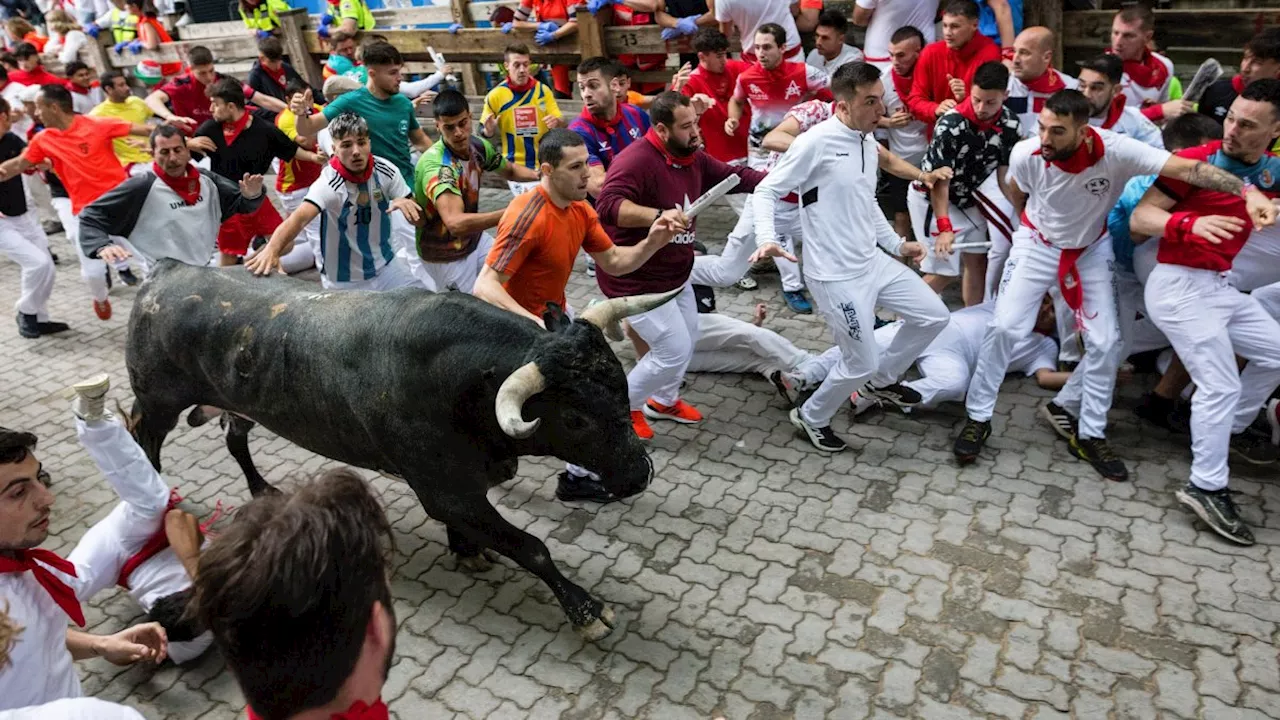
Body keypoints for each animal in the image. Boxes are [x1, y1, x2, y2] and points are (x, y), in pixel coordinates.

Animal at [124, 258, 675, 638]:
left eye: (620, 384)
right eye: (576, 418)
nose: (638, 473)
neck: (460, 383)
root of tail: (166, 271)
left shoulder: (463, 488)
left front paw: (467, 550)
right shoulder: (443, 490)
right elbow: (531, 547)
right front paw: (586, 610)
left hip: (238, 404)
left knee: (236, 438)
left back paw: (263, 489)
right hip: (156, 403)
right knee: (142, 443)